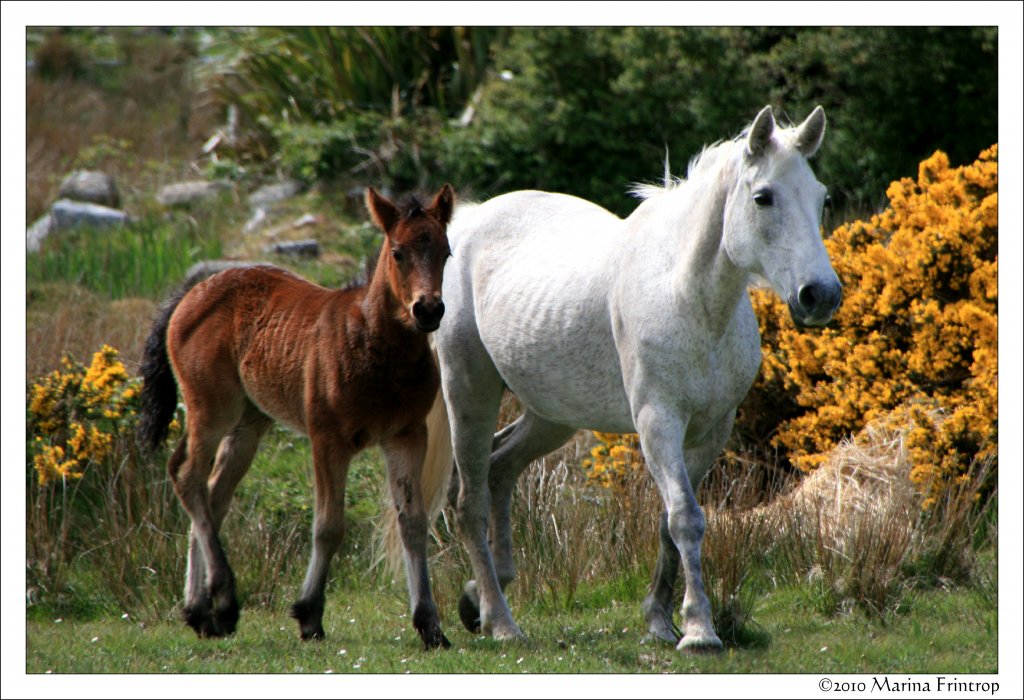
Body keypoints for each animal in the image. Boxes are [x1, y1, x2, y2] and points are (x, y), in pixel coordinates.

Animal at [428, 106, 835, 654]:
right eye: (763, 197)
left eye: (820, 198)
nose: (821, 295)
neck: (687, 297)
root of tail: (470, 221)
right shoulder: (658, 421)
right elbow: (685, 517)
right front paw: (699, 629)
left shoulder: (712, 431)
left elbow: (670, 523)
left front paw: (661, 620)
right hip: (469, 389)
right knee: (469, 500)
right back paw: (500, 620)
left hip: (551, 415)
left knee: (501, 468)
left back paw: (478, 597)